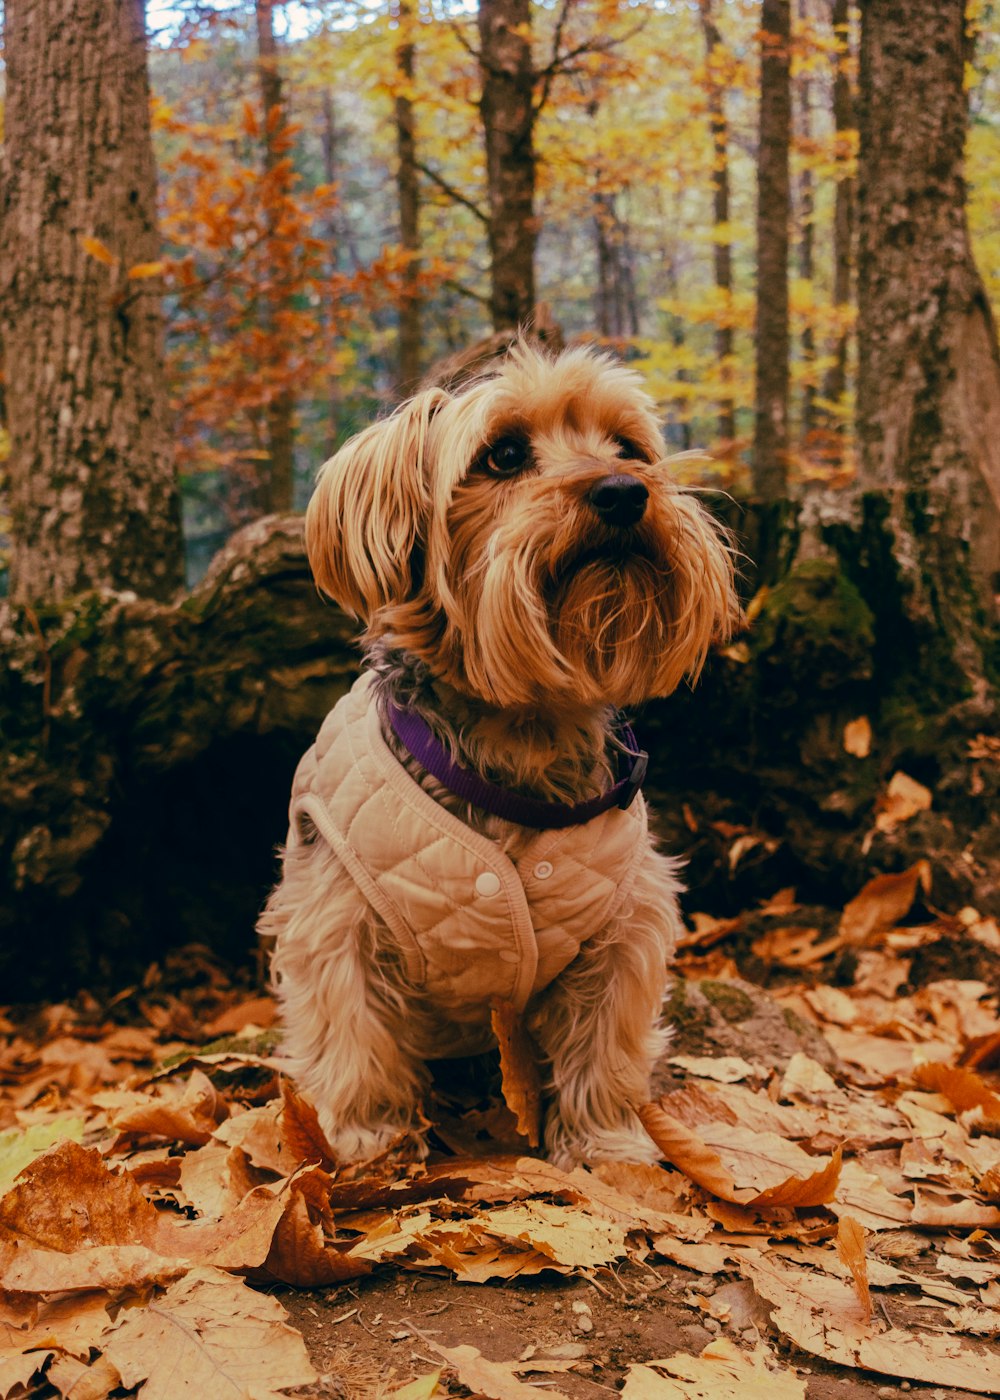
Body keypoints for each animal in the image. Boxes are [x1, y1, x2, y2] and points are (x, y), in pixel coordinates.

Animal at [260, 344, 733, 1164]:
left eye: (629, 449)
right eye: (504, 455)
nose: (624, 492)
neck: (524, 731)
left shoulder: (623, 921)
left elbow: (607, 1038)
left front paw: (605, 1145)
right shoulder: (335, 911)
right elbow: (351, 1028)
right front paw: (366, 1139)